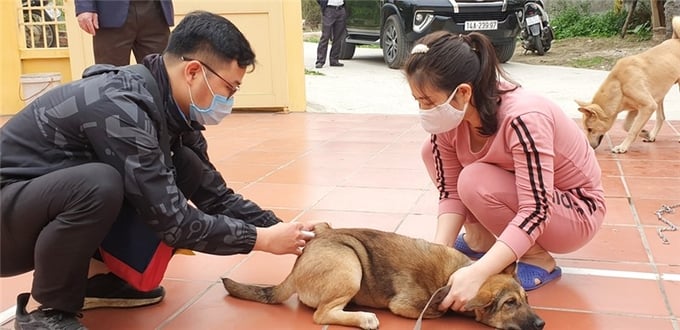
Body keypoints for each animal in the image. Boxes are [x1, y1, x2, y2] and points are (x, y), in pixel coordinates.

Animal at [223, 223, 548, 328]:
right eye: (509, 304)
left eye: (525, 299)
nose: (542, 324)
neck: (453, 275)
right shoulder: (407, 306)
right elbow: (438, 311)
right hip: (350, 264)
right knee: (321, 315)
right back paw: (363, 317)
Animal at [572, 15, 680, 153]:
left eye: (590, 129)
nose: (589, 148)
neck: (619, 84)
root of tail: (676, 40)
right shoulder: (636, 108)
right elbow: (627, 126)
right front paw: (645, 133)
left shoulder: (648, 106)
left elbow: (632, 130)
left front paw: (622, 147)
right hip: (659, 95)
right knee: (661, 117)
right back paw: (652, 136)